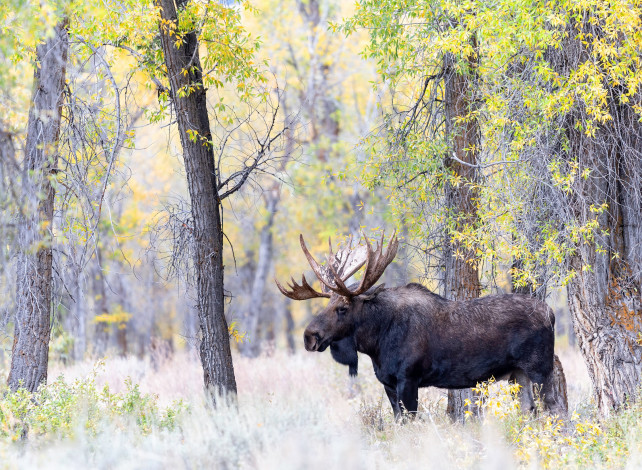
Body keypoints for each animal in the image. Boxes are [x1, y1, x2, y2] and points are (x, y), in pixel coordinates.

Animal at [276, 231, 564, 418]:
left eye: (342, 308)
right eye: (326, 305)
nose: (310, 336)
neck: (376, 343)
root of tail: (551, 313)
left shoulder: (409, 378)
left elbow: (411, 421)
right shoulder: (388, 383)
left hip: (539, 369)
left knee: (554, 408)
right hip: (519, 373)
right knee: (529, 410)